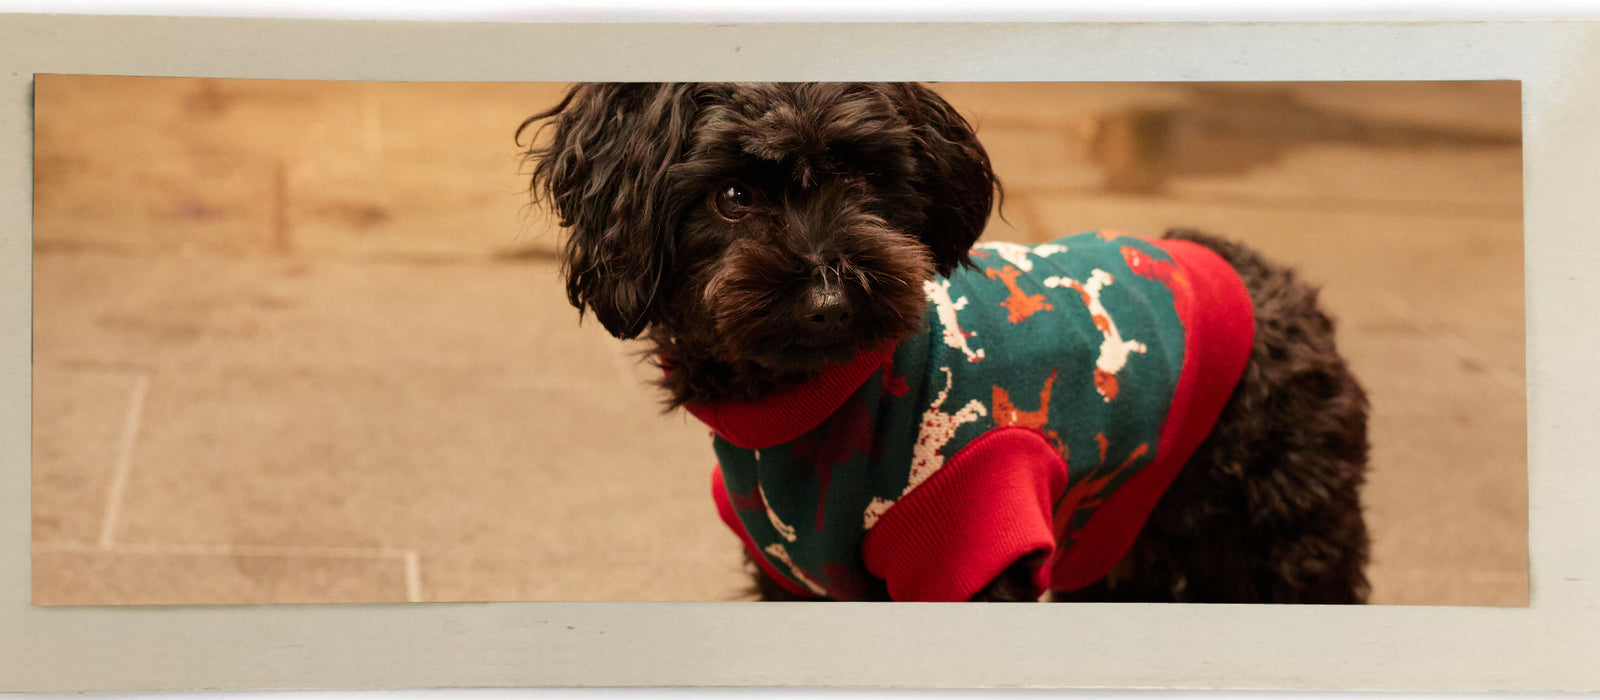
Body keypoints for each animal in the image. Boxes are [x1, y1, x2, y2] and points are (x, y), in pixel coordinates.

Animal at [518, 83, 1369, 600]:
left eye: (867, 180)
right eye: (731, 197)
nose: (829, 299)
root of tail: (1267, 274)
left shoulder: (970, 544)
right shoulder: (793, 577)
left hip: (1284, 545)